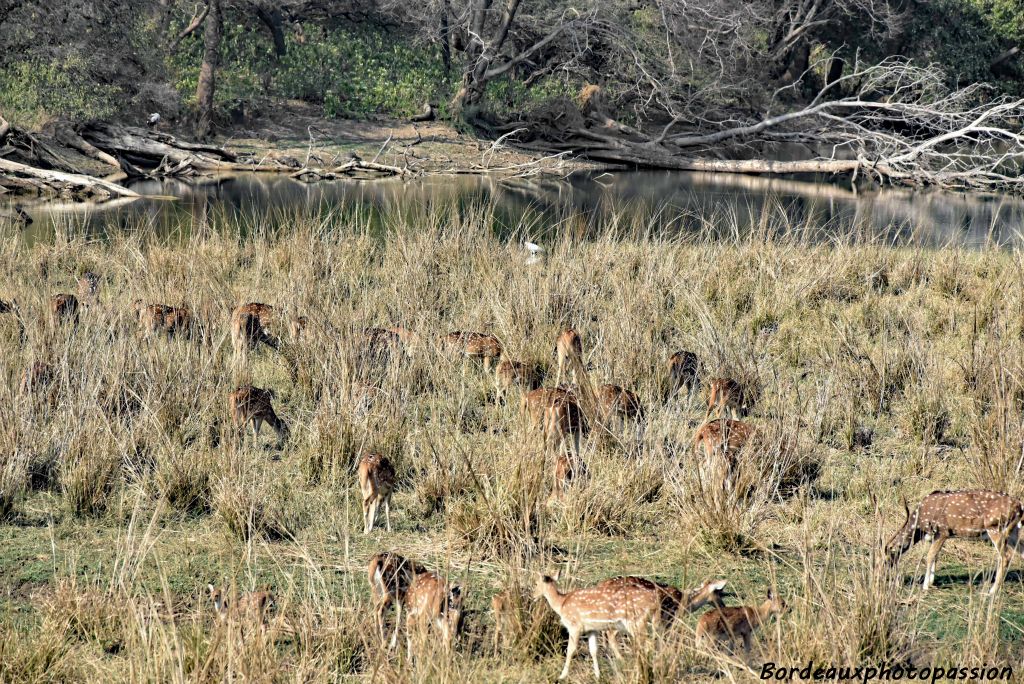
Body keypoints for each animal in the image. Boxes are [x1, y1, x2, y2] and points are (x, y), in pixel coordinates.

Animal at [880, 485, 1024, 593]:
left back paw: (992, 591)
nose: (883, 575)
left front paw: (925, 586)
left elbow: (929, 556)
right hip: (1012, 532)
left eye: (886, 558)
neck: (920, 524)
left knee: (1005, 556)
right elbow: (935, 556)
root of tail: (1019, 506)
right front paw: (931, 582)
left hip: (994, 527)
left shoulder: (943, 531)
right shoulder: (935, 536)